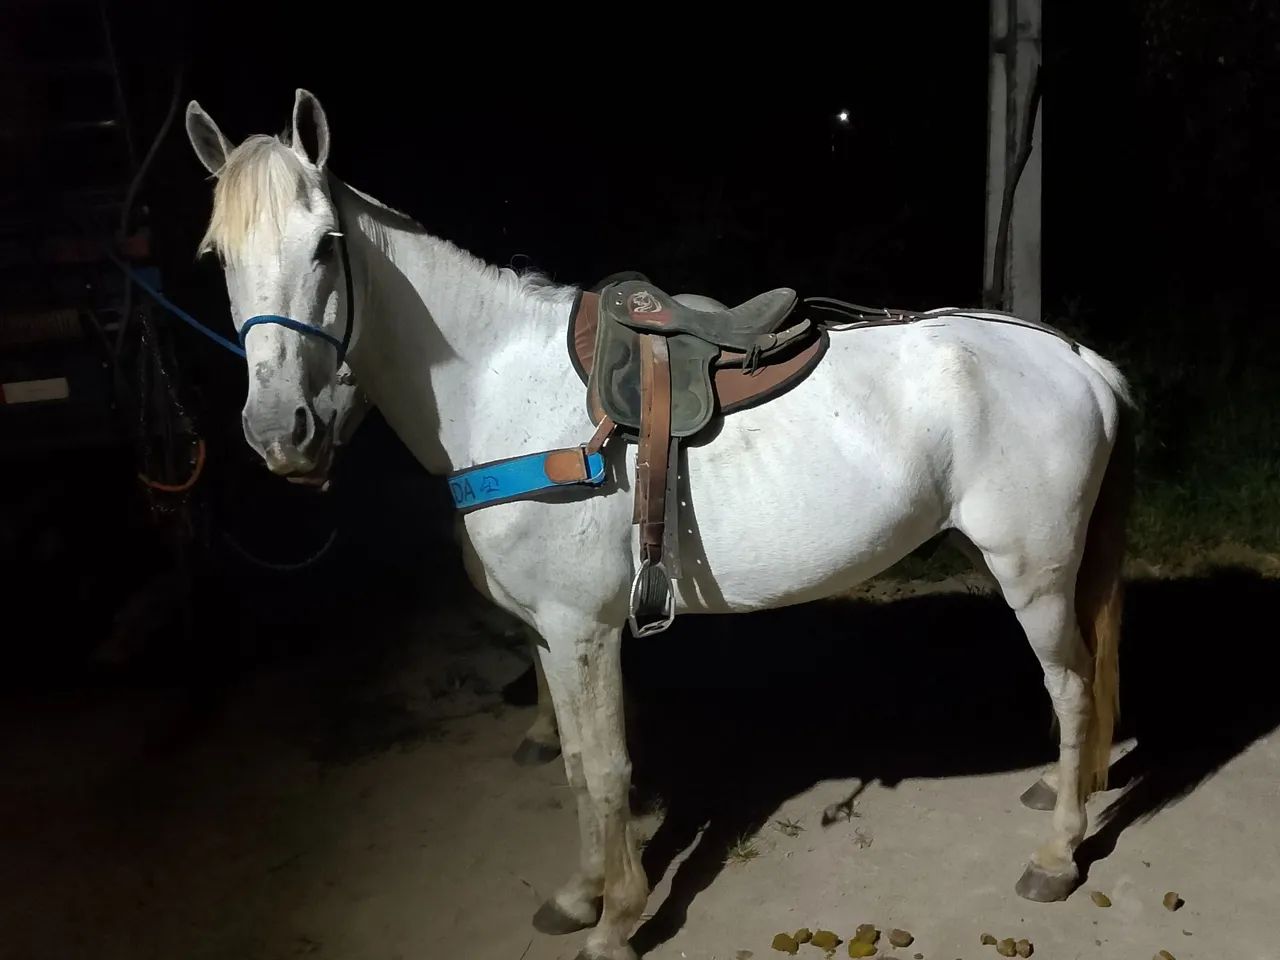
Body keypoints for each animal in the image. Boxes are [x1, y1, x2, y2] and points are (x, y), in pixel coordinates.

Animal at [184, 89, 1134, 960]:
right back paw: (1060, 789)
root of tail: (1082, 359)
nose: (279, 431)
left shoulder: (583, 631)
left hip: (1034, 572)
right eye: (215, 256)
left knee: (1072, 685)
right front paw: (580, 895)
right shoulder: (549, 634)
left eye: (326, 245)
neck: (498, 389)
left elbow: (607, 770)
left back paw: (1057, 852)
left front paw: (617, 920)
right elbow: (573, 766)